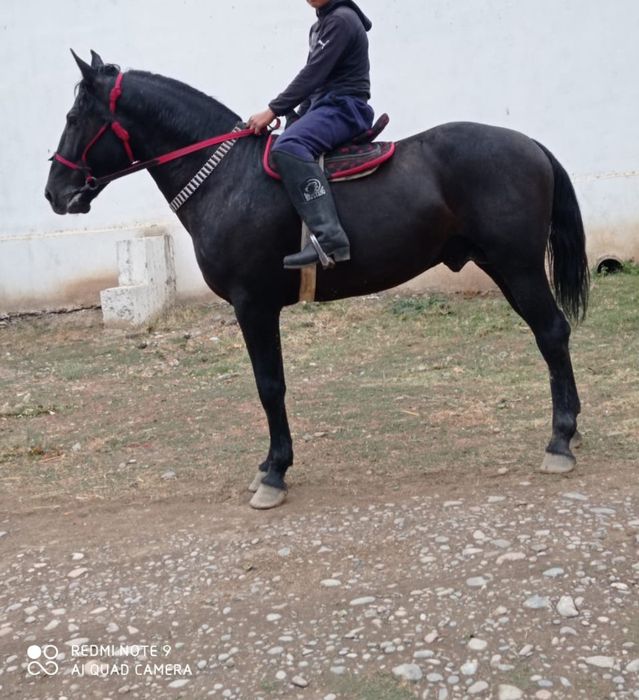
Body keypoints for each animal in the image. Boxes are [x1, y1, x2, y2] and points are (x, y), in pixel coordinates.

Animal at [45, 52, 590, 509]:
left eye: (73, 119)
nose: (55, 192)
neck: (229, 177)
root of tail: (529, 144)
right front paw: (268, 464)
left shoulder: (253, 305)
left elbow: (270, 385)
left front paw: (275, 473)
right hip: (503, 267)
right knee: (550, 336)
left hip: (518, 267)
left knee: (552, 333)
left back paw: (560, 439)